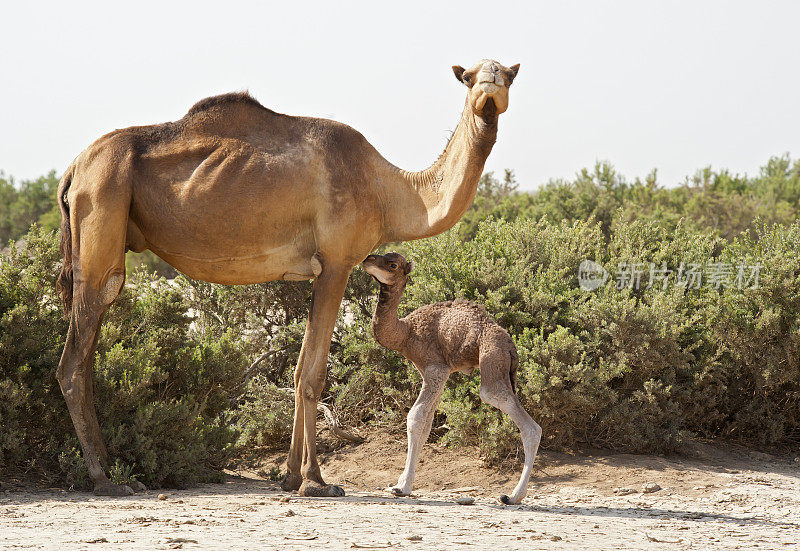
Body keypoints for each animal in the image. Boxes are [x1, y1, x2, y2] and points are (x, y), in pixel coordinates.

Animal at [56, 59, 520, 496]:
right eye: (470, 76)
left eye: (508, 75)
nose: (490, 84)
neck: (389, 191)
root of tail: (73, 169)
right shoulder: (337, 261)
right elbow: (313, 373)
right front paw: (316, 480)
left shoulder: (321, 268)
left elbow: (299, 368)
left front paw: (291, 475)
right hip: (103, 206)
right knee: (75, 359)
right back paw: (106, 479)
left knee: (88, 352)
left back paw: (115, 472)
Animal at [364, 253, 544, 504]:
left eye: (393, 264)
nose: (367, 259)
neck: (406, 332)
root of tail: (511, 347)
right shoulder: (439, 373)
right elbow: (427, 423)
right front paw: (401, 481)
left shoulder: (435, 368)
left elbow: (415, 417)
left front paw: (403, 487)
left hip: (492, 360)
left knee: (523, 421)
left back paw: (513, 496)